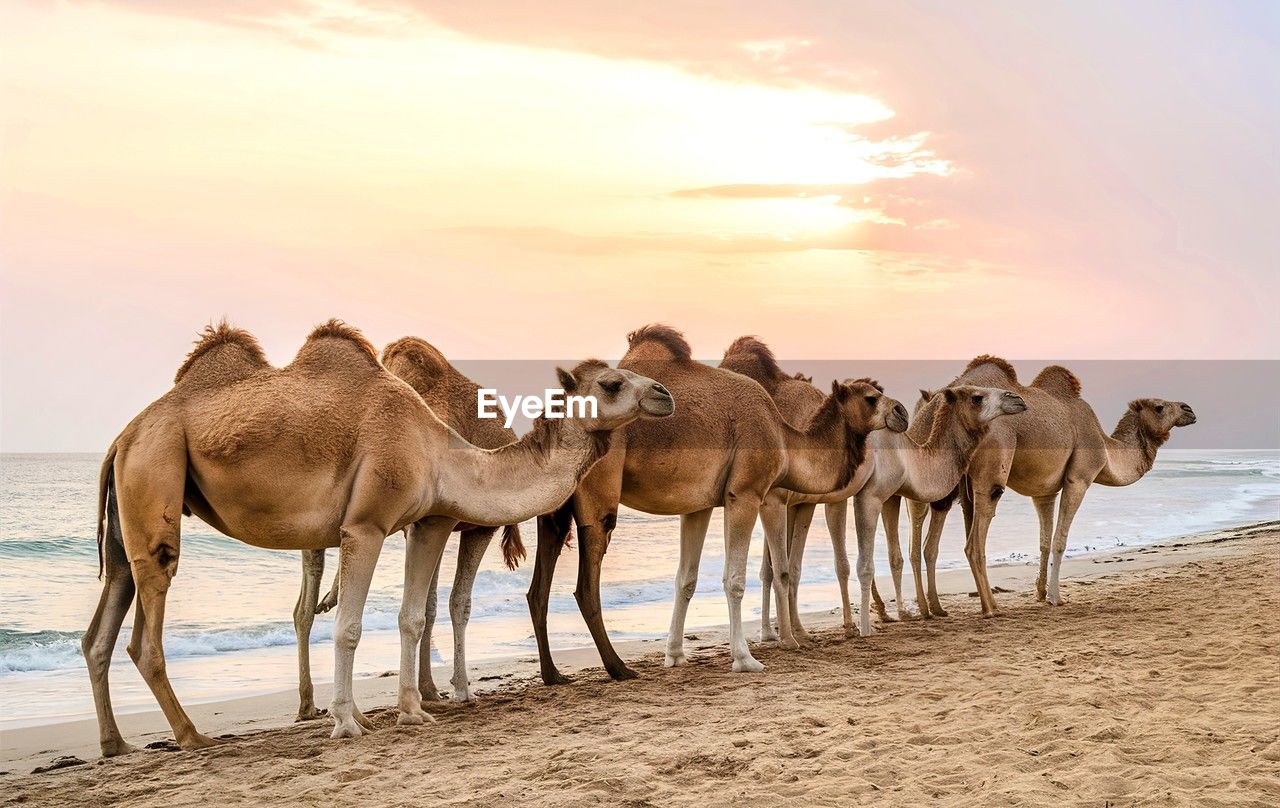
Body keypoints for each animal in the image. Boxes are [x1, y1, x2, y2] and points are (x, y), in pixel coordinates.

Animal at [519, 323, 901, 681]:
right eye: (871, 397)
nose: (900, 411)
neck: (781, 434)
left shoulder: (698, 505)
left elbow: (686, 579)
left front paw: (675, 655)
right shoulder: (745, 493)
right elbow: (736, 578)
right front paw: (745, 658)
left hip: (554, 505)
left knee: (538, 588)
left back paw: (554, 675)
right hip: (599, 495)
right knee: (586, 587)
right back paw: (618, 668)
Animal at [721, 338, 1029, 642]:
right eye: (977, 396)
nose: (1016, 399)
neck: (908, 455)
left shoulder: (866, 497)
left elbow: (878, 558)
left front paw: (875, 619)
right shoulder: (869, 495)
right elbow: (860, 565)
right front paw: (863, 627)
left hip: (790, 501)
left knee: (775, 567)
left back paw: (779, 632)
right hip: (774, 496)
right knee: (773, 566)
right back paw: (777, 634)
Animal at [906, 355, 1192, 617]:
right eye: (1159, 406)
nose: (1189, 409)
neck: (1104, 446)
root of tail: (935, 404)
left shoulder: (1045, 492)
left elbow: (1044, 541)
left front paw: (1041, 592)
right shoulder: (1079, 478)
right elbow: (1059, 540)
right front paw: (1056, 597)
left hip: (935, 466)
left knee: (929, 537)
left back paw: (934, 608)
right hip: (992, 464)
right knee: (973, 542)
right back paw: (990, 608)